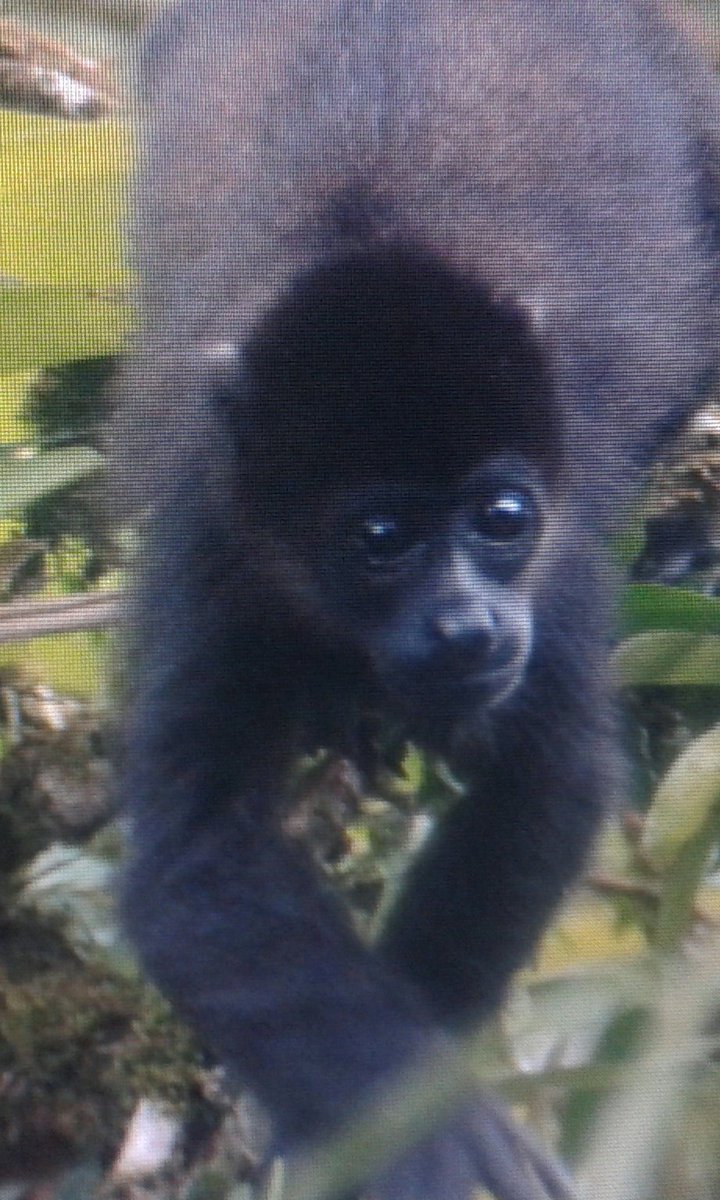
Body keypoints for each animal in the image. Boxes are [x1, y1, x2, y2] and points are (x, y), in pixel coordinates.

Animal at [116, 2, 720, 1198]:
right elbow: (194, 855)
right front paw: (404, 1120)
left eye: (502, 515)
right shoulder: (213, 535)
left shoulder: (556, 558)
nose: (470, 626)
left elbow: (546, 779)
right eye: (380, 538)